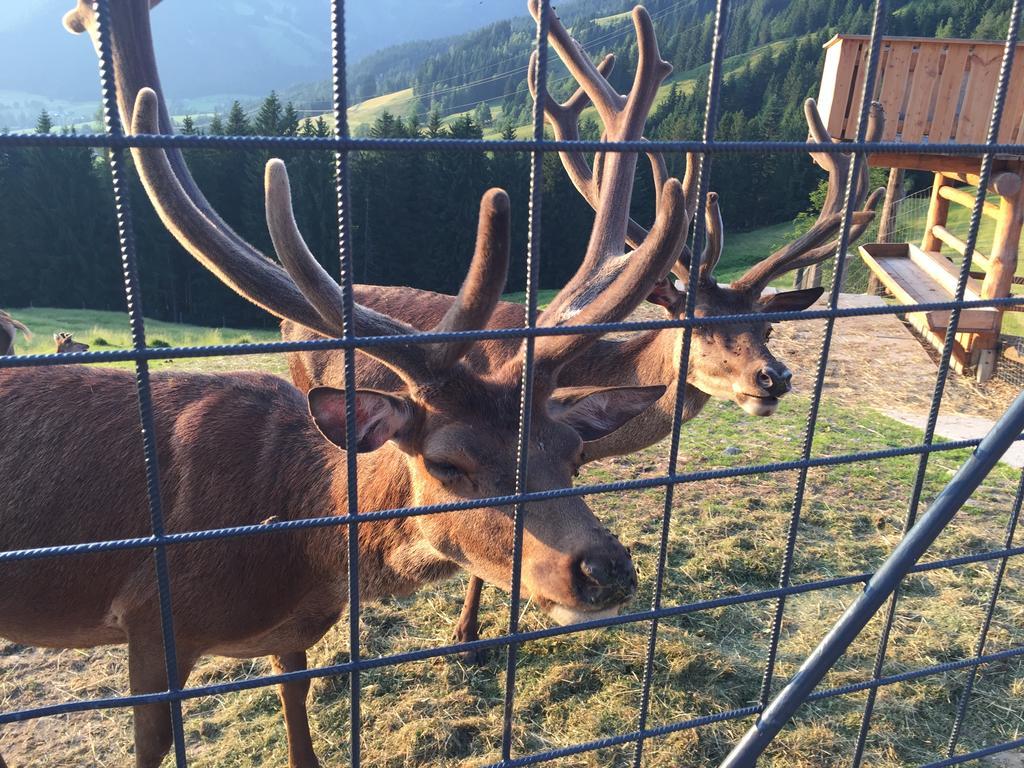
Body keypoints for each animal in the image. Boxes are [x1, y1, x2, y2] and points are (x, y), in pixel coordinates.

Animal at [0, 3, 692, 765]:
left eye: (572, 453)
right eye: (448, 463)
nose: (605, 569)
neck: (296, 540)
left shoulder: (292, 635)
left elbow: (295, 704)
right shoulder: (151, 623)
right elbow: (151, 744)